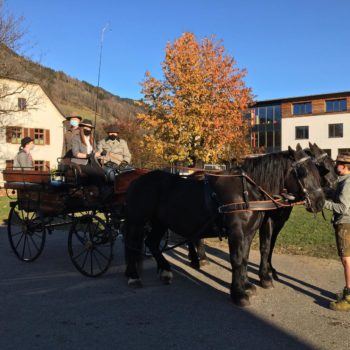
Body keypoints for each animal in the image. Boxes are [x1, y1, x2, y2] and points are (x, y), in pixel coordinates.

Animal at [123, 144, 326, 304]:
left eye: (318, 171)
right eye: (303, 171)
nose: (320, 202)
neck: (246, 190)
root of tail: (136, 180)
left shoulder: (249, 233)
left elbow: (244, 258)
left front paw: (246, 285)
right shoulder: (236, 232)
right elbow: (236, 259)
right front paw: (238, 294)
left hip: (160, 222)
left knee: (151, 242)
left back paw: (165, 270)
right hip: (137, 222)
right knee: (132, 246)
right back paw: (133, 276)